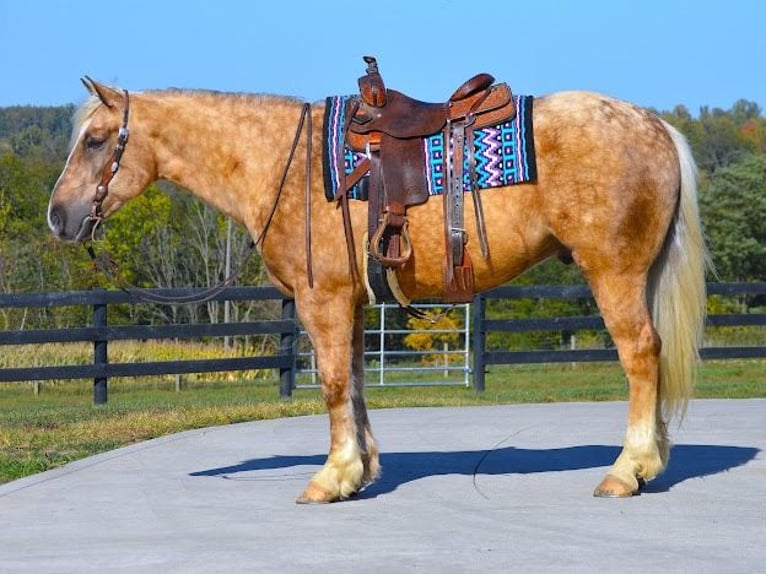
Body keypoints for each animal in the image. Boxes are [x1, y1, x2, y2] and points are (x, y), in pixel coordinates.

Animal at [48, 76, 708, 504]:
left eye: (96, 140)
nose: (59, 217)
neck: (283, 163)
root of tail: (656, 125)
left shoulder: (323, 301)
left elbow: (334, 385)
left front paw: (330, 478)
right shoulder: (353, 305)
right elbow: (358, 384)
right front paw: (360, 471)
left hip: (614, 273)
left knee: (641, 356)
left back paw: (628, 470)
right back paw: (654, 462)